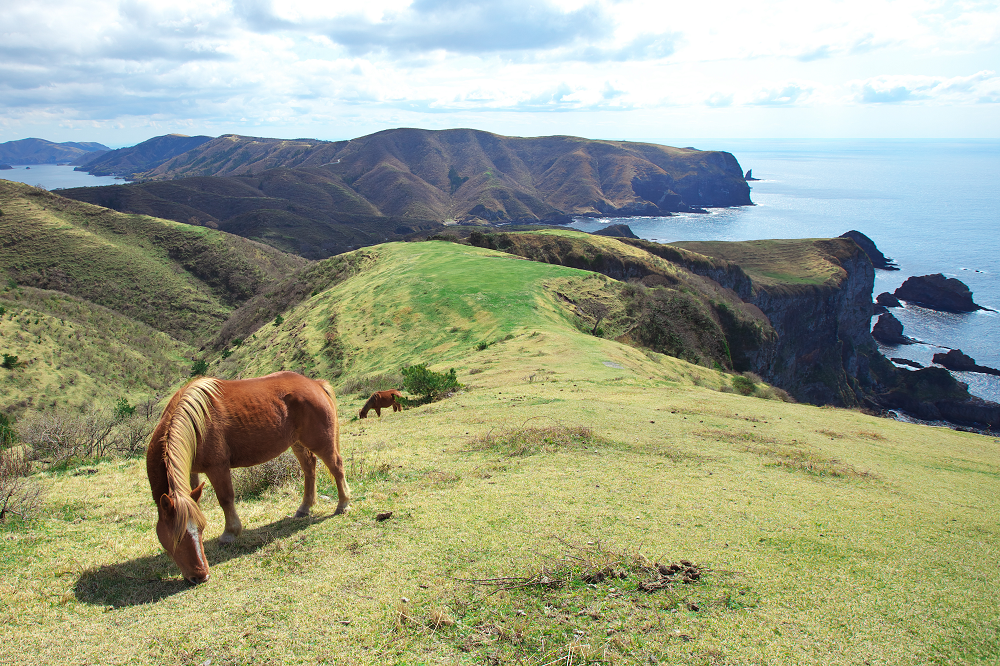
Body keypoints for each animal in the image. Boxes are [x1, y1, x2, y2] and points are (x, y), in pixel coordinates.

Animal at [145, 370, 352, 584]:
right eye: (177, 537)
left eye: (200, 530)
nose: (201, 575)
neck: (197, 423)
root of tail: (316, 384)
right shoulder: (192, 471)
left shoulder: (217, 467)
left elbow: (226, 499)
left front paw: (230, 532)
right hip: (297, 443)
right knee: (309, 468)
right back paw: (304, 508)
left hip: (321, 442)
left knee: (337, 467)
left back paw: (343, 504)